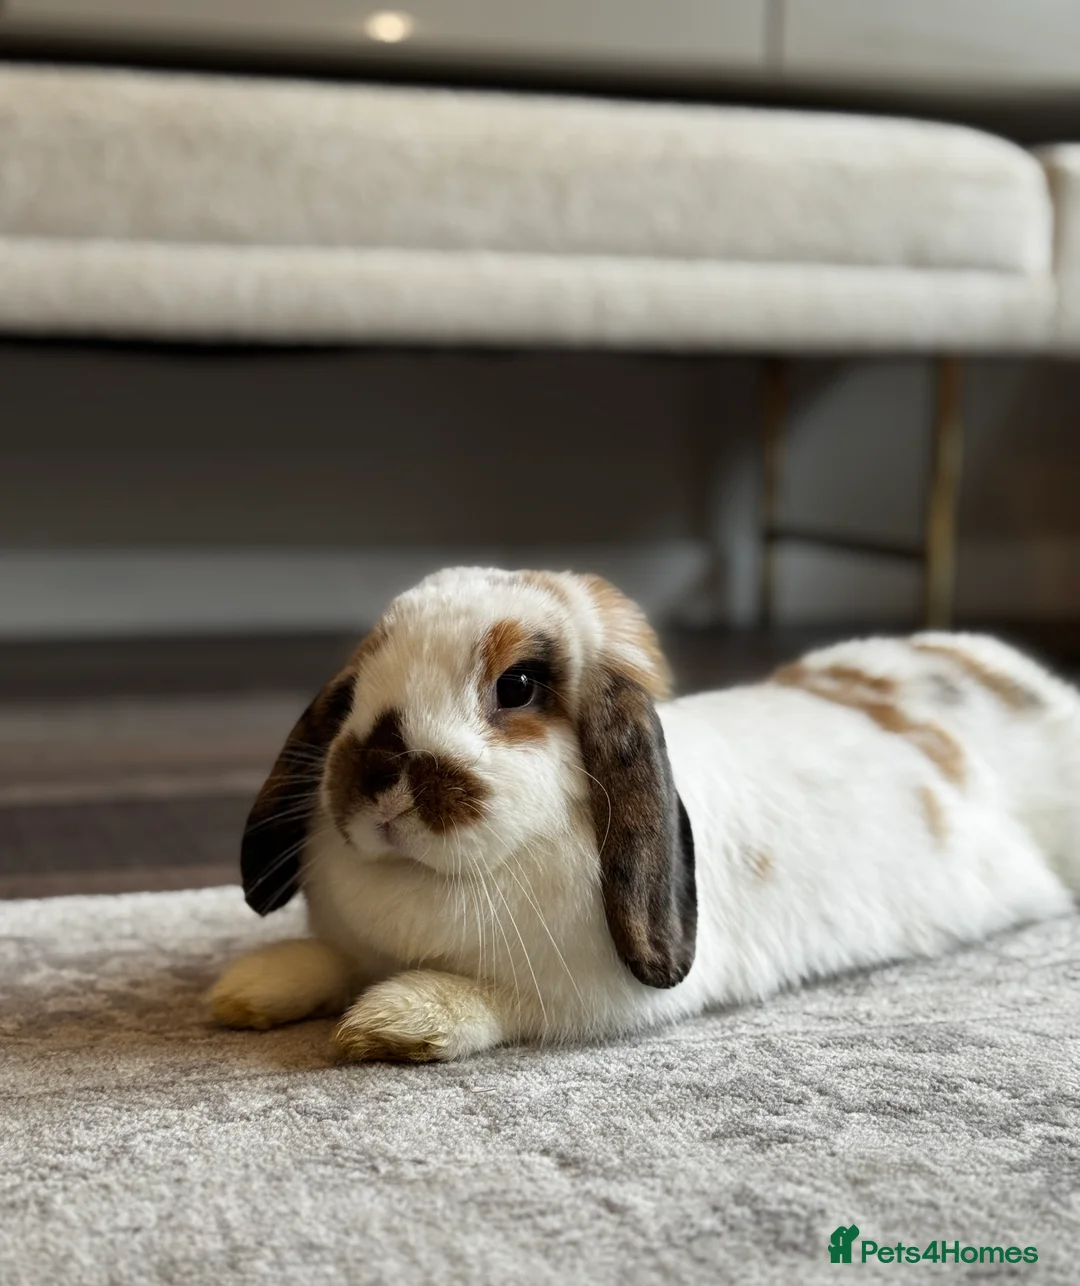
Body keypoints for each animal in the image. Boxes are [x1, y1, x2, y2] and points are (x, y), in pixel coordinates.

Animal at [210, 567, 1080, 1062]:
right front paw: (248, 990)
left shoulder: (579, 998)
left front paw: (394, 1023)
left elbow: (492, 1002)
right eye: (357, 686)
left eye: (517, 685)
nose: (380, 772)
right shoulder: (352, 942)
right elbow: (327, 959)